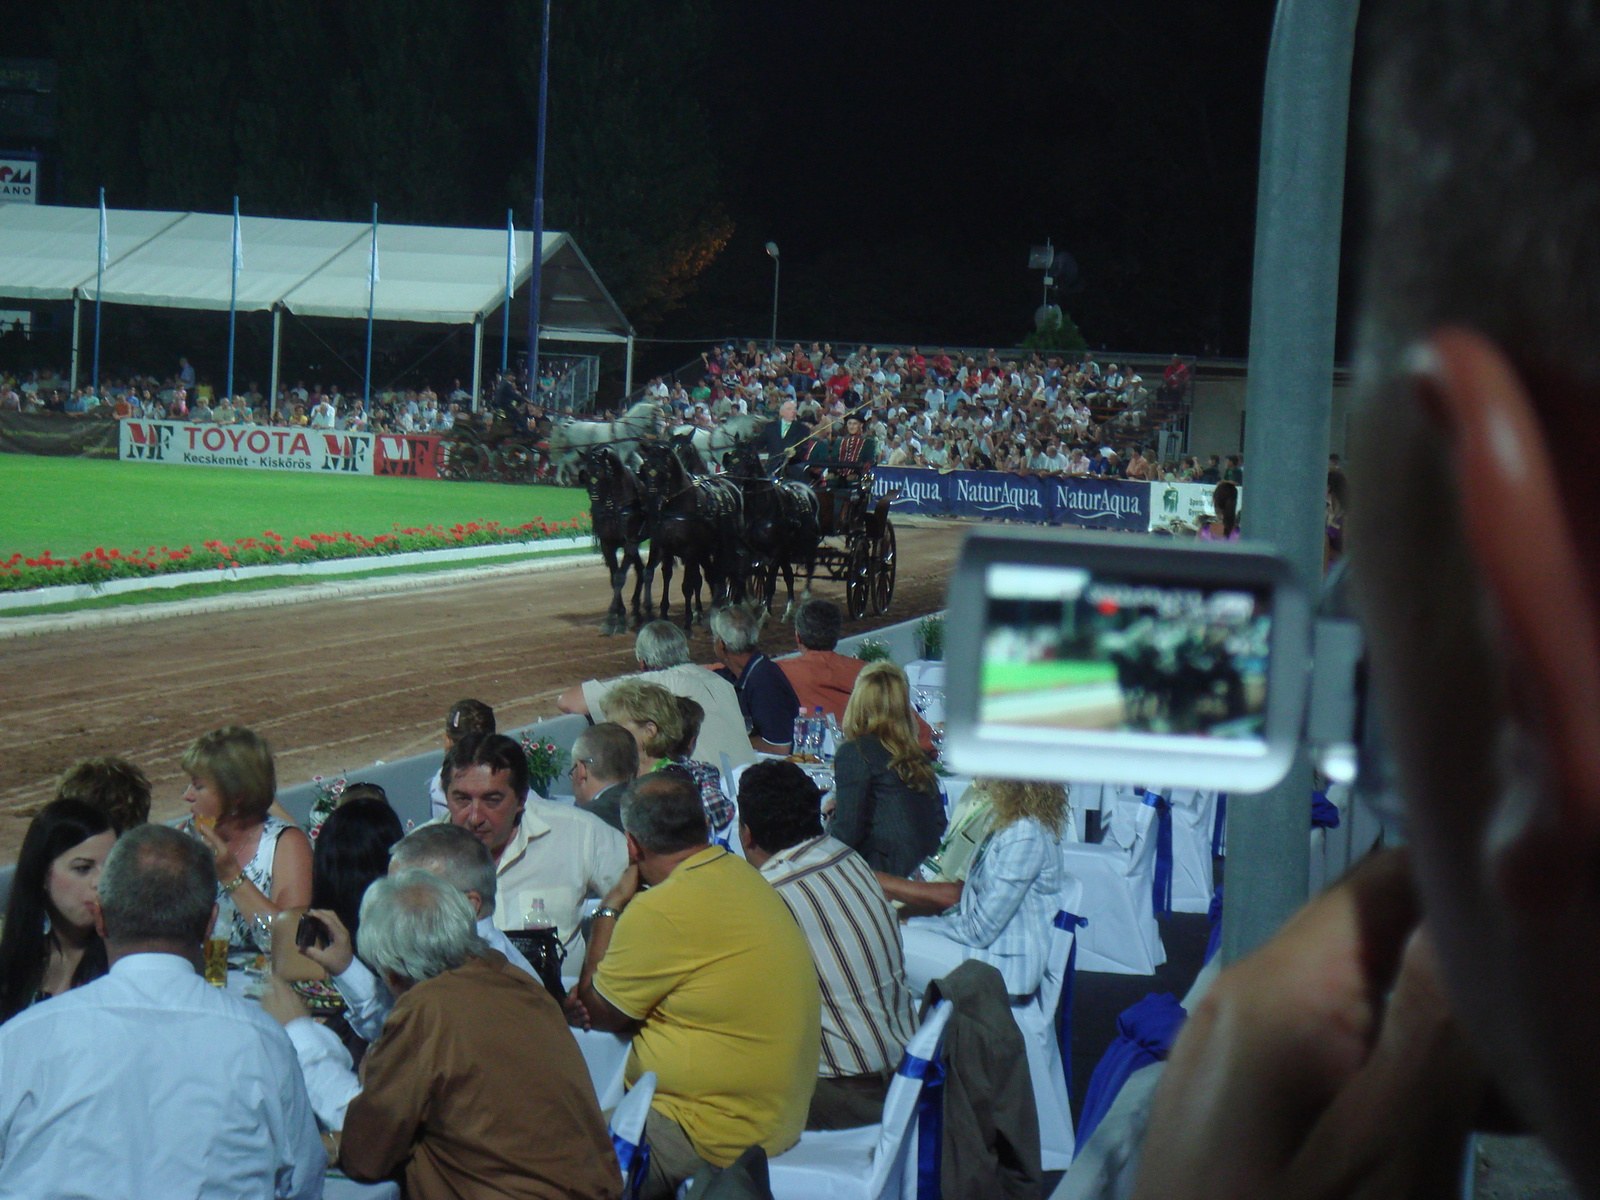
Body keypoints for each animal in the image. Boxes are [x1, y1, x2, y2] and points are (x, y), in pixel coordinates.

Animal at [579, 448, 646, 640]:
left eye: (602, 473)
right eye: (585, 475)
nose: (595, 509)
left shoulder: (630, 543)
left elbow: (619, 578)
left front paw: (610, 621)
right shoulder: (608, 545)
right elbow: (613, 577)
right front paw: (620, 619)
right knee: (641, 570)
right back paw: (637, 612)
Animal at [633, 438, 745, 633]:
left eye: (662, 468)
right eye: (645, 468)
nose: (652, 502)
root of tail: (731, 486)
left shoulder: (690, 550)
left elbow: (687, 585)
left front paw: (687, 623)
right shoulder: (666, 548)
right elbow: (667, 576)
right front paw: (663, 614)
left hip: (729, 543)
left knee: (732, 569)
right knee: (713, 574)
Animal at [729, 448, 819, 624]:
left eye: (748, 460)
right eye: (730, 460)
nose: (736, 483)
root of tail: (807, 488)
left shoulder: (775, 552)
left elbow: (770, 584)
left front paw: (765, 614)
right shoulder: (747, 550)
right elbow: (743, 577)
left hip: (809, 543)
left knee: (811, 565)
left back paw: (805, 597)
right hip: (786, 552)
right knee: (789, 577)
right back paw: (788, 612)